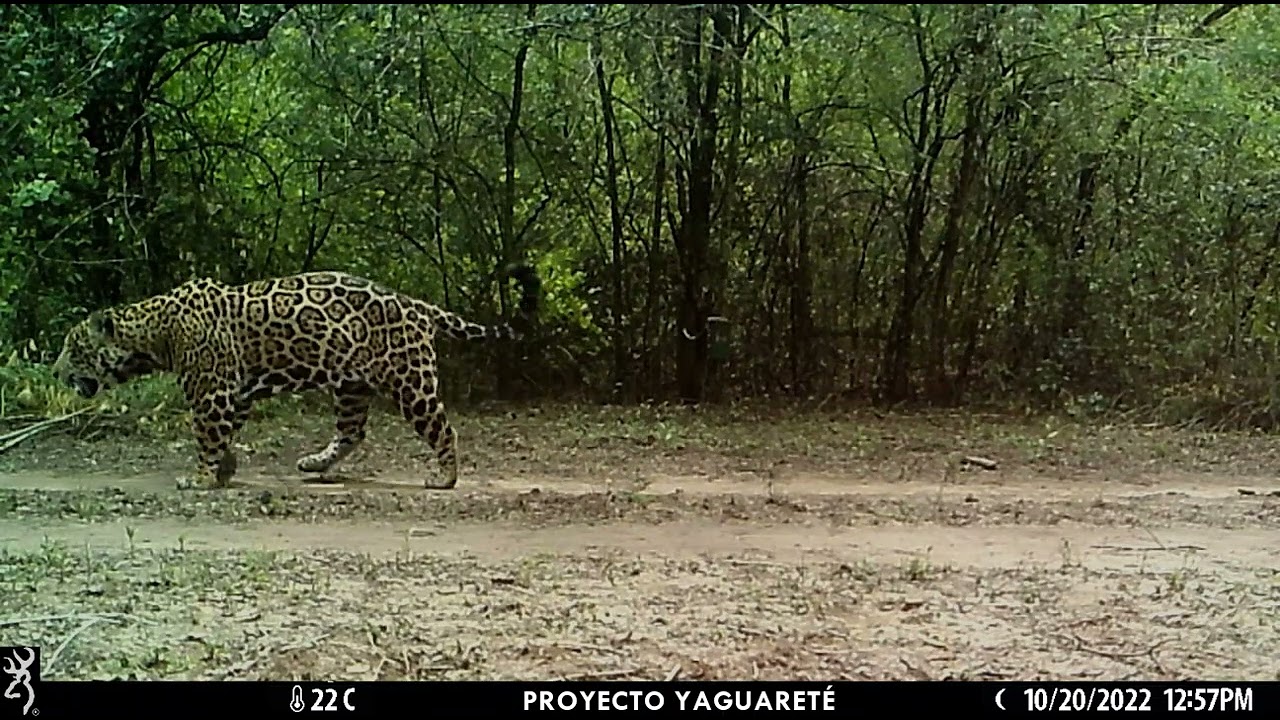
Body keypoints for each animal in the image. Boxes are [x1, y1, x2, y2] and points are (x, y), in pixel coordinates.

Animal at [51, 265, 540, 491]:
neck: (156, 332)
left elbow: (208, 436)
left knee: (443, 428)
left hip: (410, 381)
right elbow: (227, 434)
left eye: (74, 348)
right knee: (352, 432)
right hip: (350, 385)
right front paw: (225, 470)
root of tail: (417, 303)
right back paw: (316, 464)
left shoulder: (212, 393)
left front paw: (204, 477)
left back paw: (445, 478)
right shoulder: (236, 392)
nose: (55, 372)